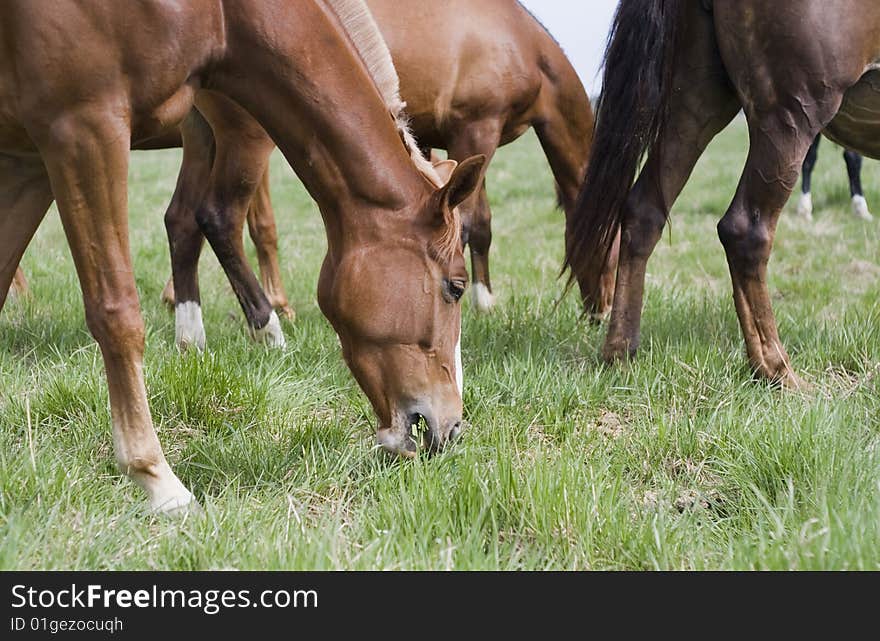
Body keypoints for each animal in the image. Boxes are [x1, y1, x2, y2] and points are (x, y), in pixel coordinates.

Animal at [0, 0, 482, 510]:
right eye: (456, 287)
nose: (453, 428)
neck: (224, 16)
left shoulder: (27, 157)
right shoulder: (82, 129)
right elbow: (117, 313)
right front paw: (156, 478)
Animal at [156, 0, 604, 324]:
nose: (603, 311)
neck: (514, 39)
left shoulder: (439, 146)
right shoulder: (476, 129)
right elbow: (475, 224)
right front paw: (482, 302)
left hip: (204, 140)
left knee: (182, 218)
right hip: (245, 139)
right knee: (218, 216)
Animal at [564, 0, 880, 388]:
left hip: (695, 101)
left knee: (644, 211)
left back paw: (620, 353)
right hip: (790, 117)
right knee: (745, 231)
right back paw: (777, 371)